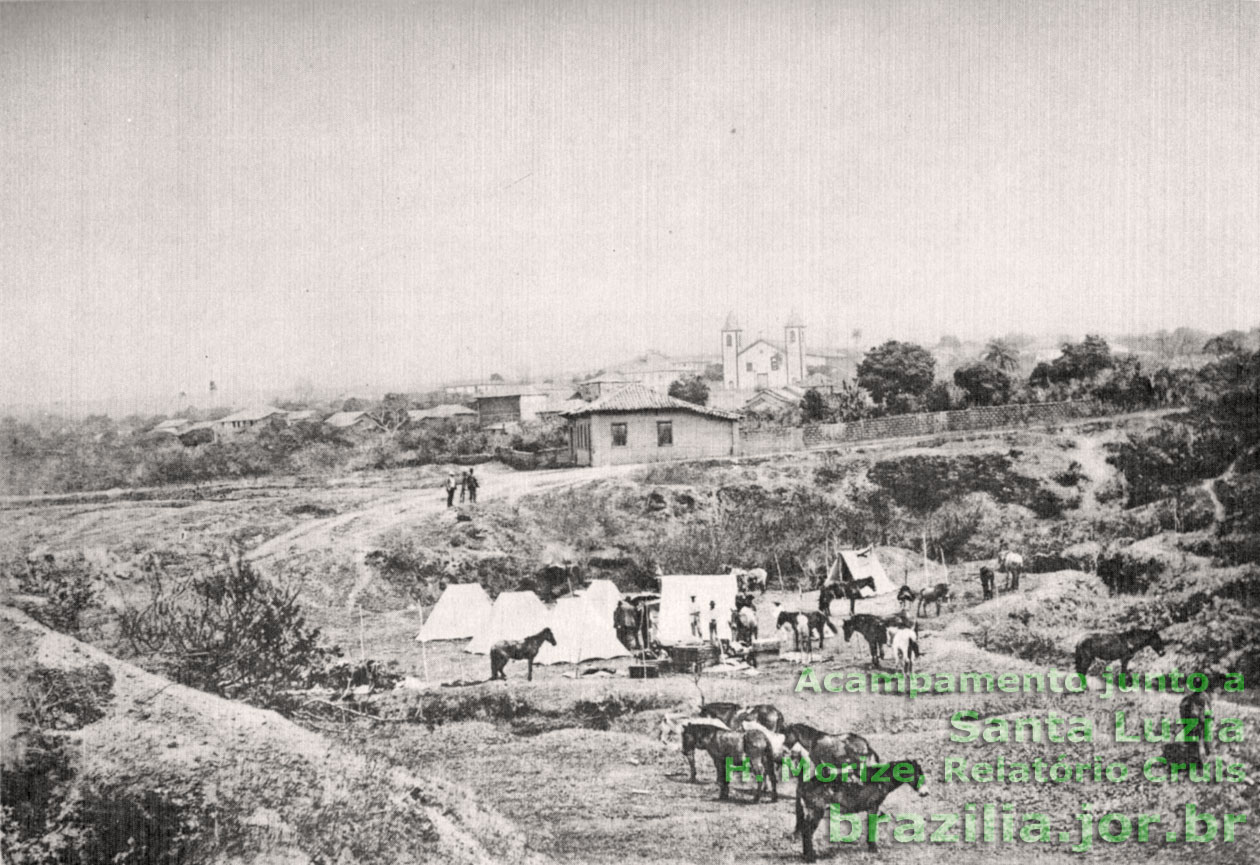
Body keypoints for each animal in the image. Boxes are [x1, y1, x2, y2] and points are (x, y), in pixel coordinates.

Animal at [791, 755, 932, 861]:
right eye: (917, 774)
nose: (925, 793)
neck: (880, 778)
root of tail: (804, 785)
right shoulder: (873, 807)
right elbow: (872, 827)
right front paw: (874, 849)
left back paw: (808, 855)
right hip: (817, 811)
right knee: (807, 830)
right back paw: (810, 858)